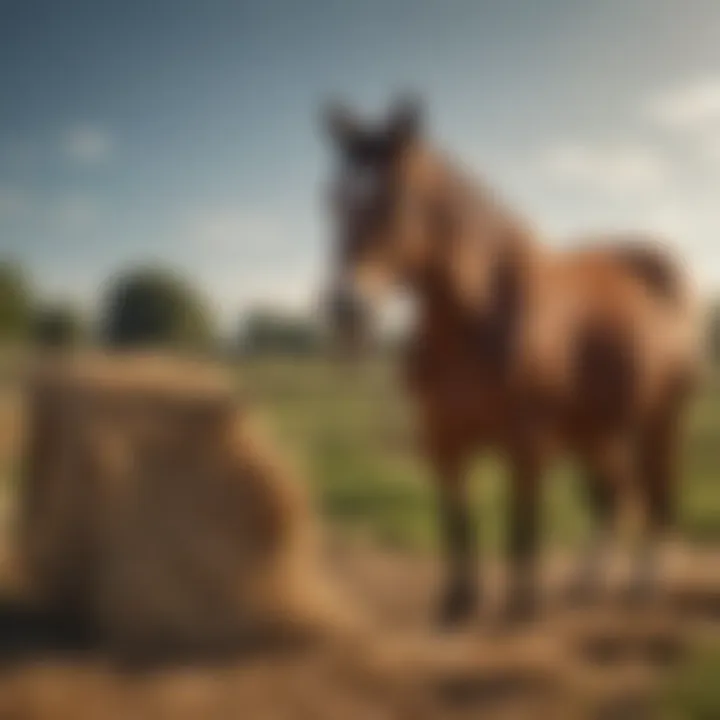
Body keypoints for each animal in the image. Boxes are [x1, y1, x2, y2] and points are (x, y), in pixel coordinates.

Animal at [322, 98, 704, 620]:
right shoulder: (442, 441)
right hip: (594, 429)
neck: (480, 321)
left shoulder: (528, 444)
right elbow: (458, 523)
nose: (347, 308)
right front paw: (458, 603)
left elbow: (521, 528)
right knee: (614, 495)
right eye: (331, 200)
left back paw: (644, 584)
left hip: (660, 419)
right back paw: (588, 582)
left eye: (397, 199)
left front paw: (522, 608)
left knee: (657, 495)